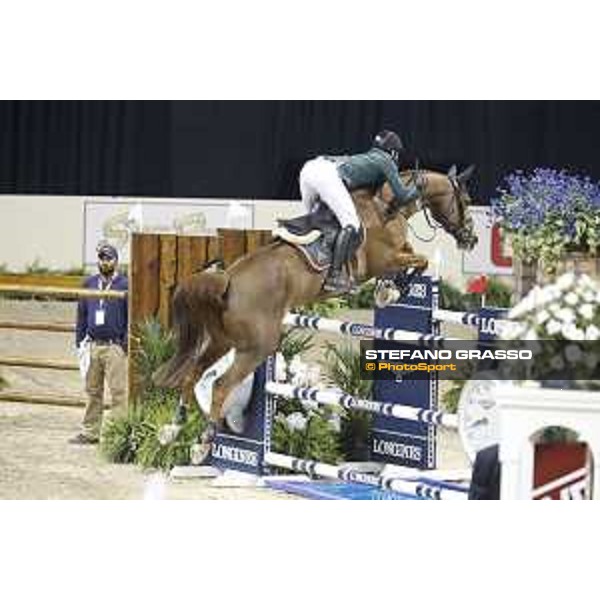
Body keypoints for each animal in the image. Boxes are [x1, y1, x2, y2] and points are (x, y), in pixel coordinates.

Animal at [154, 166, 478, 462]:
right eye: (465, 199)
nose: (471, 239)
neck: (385, 206)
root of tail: (228, 279)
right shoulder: (383, 260)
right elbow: (419, 261)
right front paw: (391, 292)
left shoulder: (395, 254)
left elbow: (413, 256)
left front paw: (388, 289)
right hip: (257, 347)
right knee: (220, 386)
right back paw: (203, 443)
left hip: (224, 341)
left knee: (193, 373)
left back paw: (172, 429)